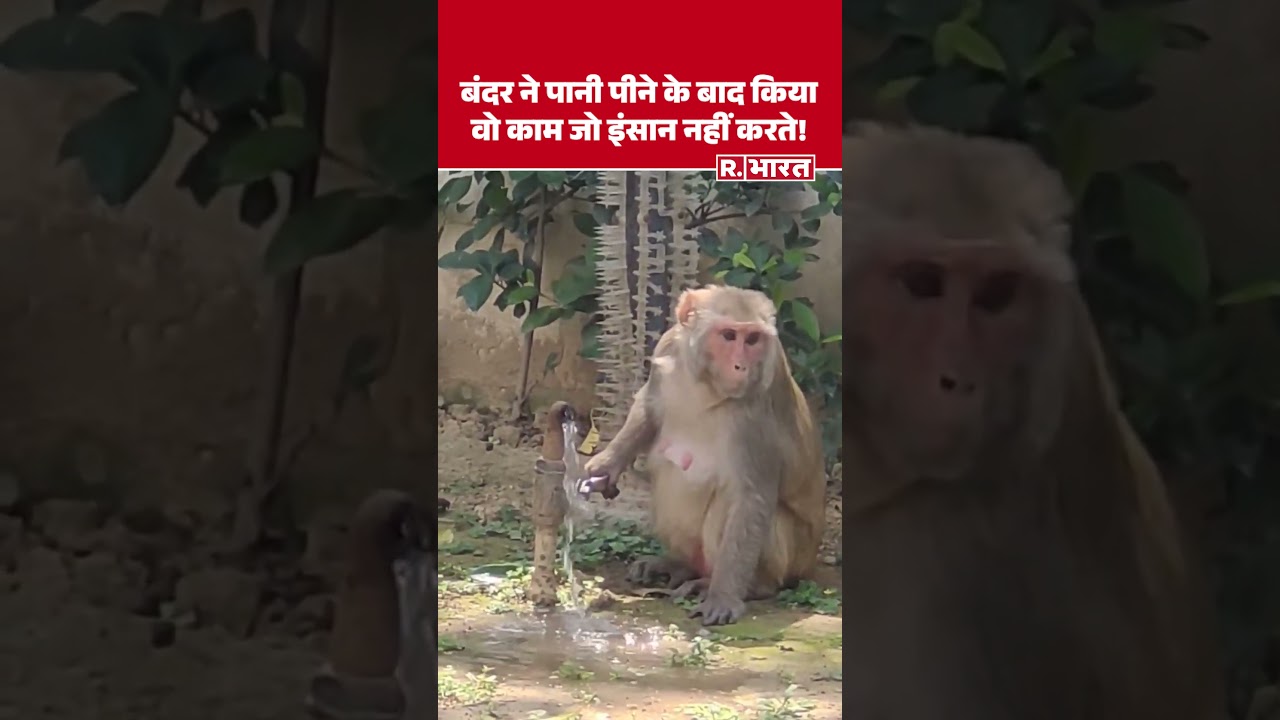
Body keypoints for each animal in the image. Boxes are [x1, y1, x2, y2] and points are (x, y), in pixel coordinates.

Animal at [580, 285, 827, 626]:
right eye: (728, 335)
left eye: (753, 339)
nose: (741, 367)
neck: (705, 382)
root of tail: (811, 562)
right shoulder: (668, 345)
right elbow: (648, 407)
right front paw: (607, 464)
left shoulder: (754, 412)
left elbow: (750, 498)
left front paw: (723, 598)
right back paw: (678, 565)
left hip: (793, 558)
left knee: (730, 504)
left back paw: (740, 585)